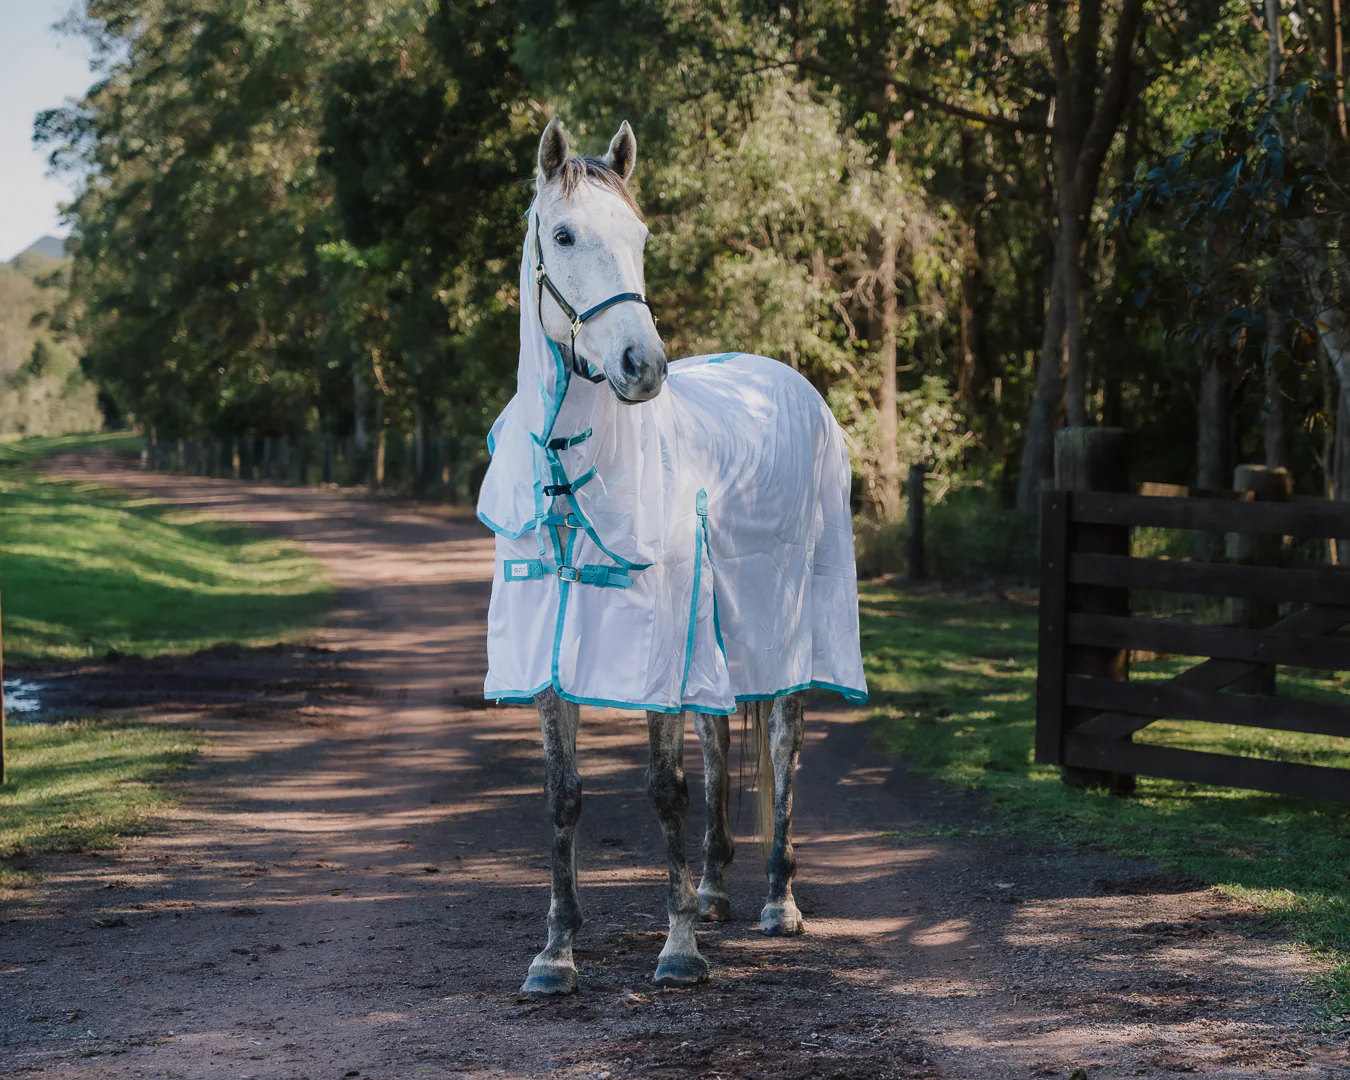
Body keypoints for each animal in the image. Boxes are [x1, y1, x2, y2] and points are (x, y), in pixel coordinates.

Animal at [476, 117, 868, 995]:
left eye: (641, 237)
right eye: (563, 234)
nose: (642, 367)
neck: (572, 472)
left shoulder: (658, 646)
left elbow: (664, 789)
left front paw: (679, 949)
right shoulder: (550, 652)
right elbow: (563, 796)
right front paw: (555, 953)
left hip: (786, 624)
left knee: (782, 740)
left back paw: (776, 902)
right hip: (716, 629)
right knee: (722, 737)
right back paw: (717, 889)